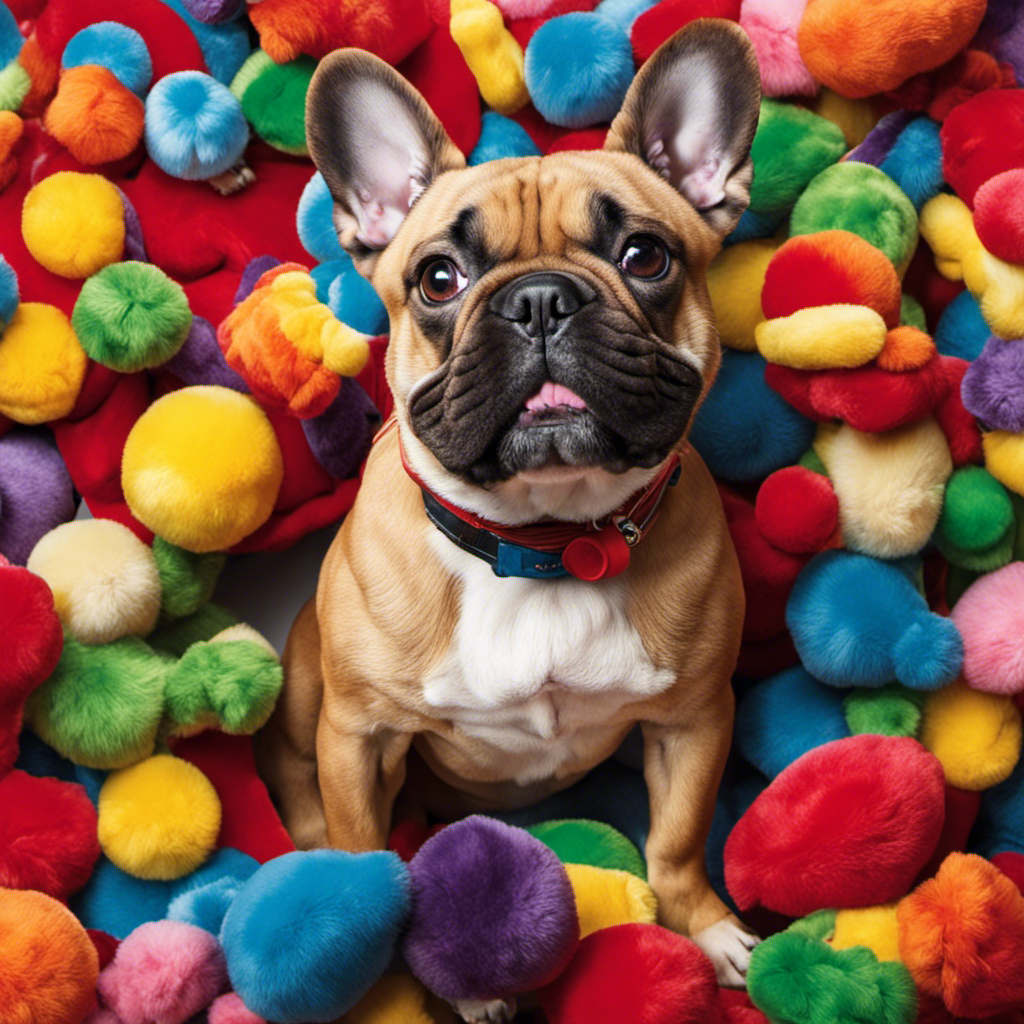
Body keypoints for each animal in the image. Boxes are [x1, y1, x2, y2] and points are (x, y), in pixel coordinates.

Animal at [258, 18, 761, 1015]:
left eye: (646, 257)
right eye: (437, 279)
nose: (539, 299)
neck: (544, 544)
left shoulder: (693, 719)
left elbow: (677, 842)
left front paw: (707, 927)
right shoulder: (361, 737)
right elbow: (368, 848)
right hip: (305, 690)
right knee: (302, 783)